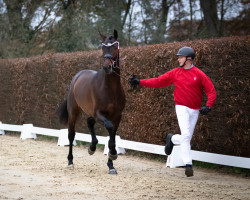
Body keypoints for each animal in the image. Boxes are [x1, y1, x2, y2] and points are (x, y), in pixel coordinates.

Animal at [57, 30, 126, 175]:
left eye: (114, 47)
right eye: (103, 47)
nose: (107, 67)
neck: (111, 88)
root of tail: (77, 76)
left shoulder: (117, 116)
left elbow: (112, 137)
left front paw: (111, 164)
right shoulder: (99, 114)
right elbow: (109, 128)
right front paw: (113, 154)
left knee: (89, 122)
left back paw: (92, 147)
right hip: (74, 112)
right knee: (71, 135)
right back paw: (70, 161)